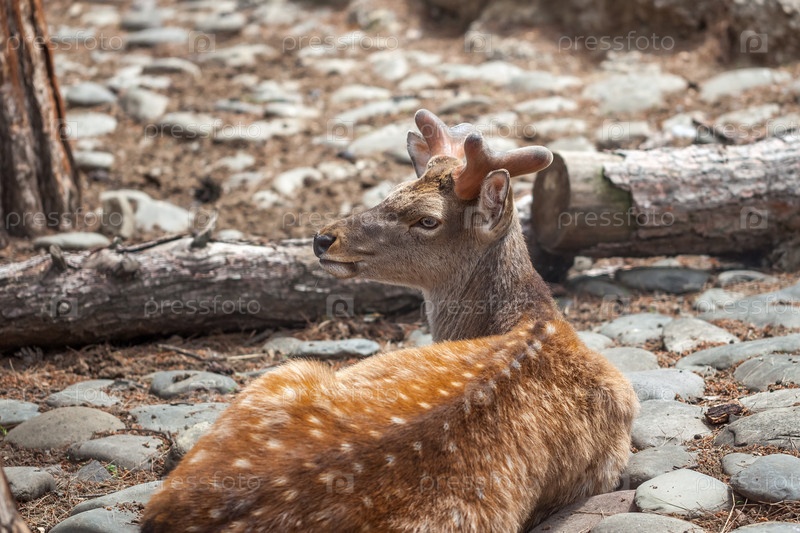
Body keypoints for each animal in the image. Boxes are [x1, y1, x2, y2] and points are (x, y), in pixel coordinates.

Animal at [141, 109, 638, 533]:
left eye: (427, 220)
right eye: (393, 189)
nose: (324, 238)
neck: (537, 320)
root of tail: (171, 514)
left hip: (282, 374)